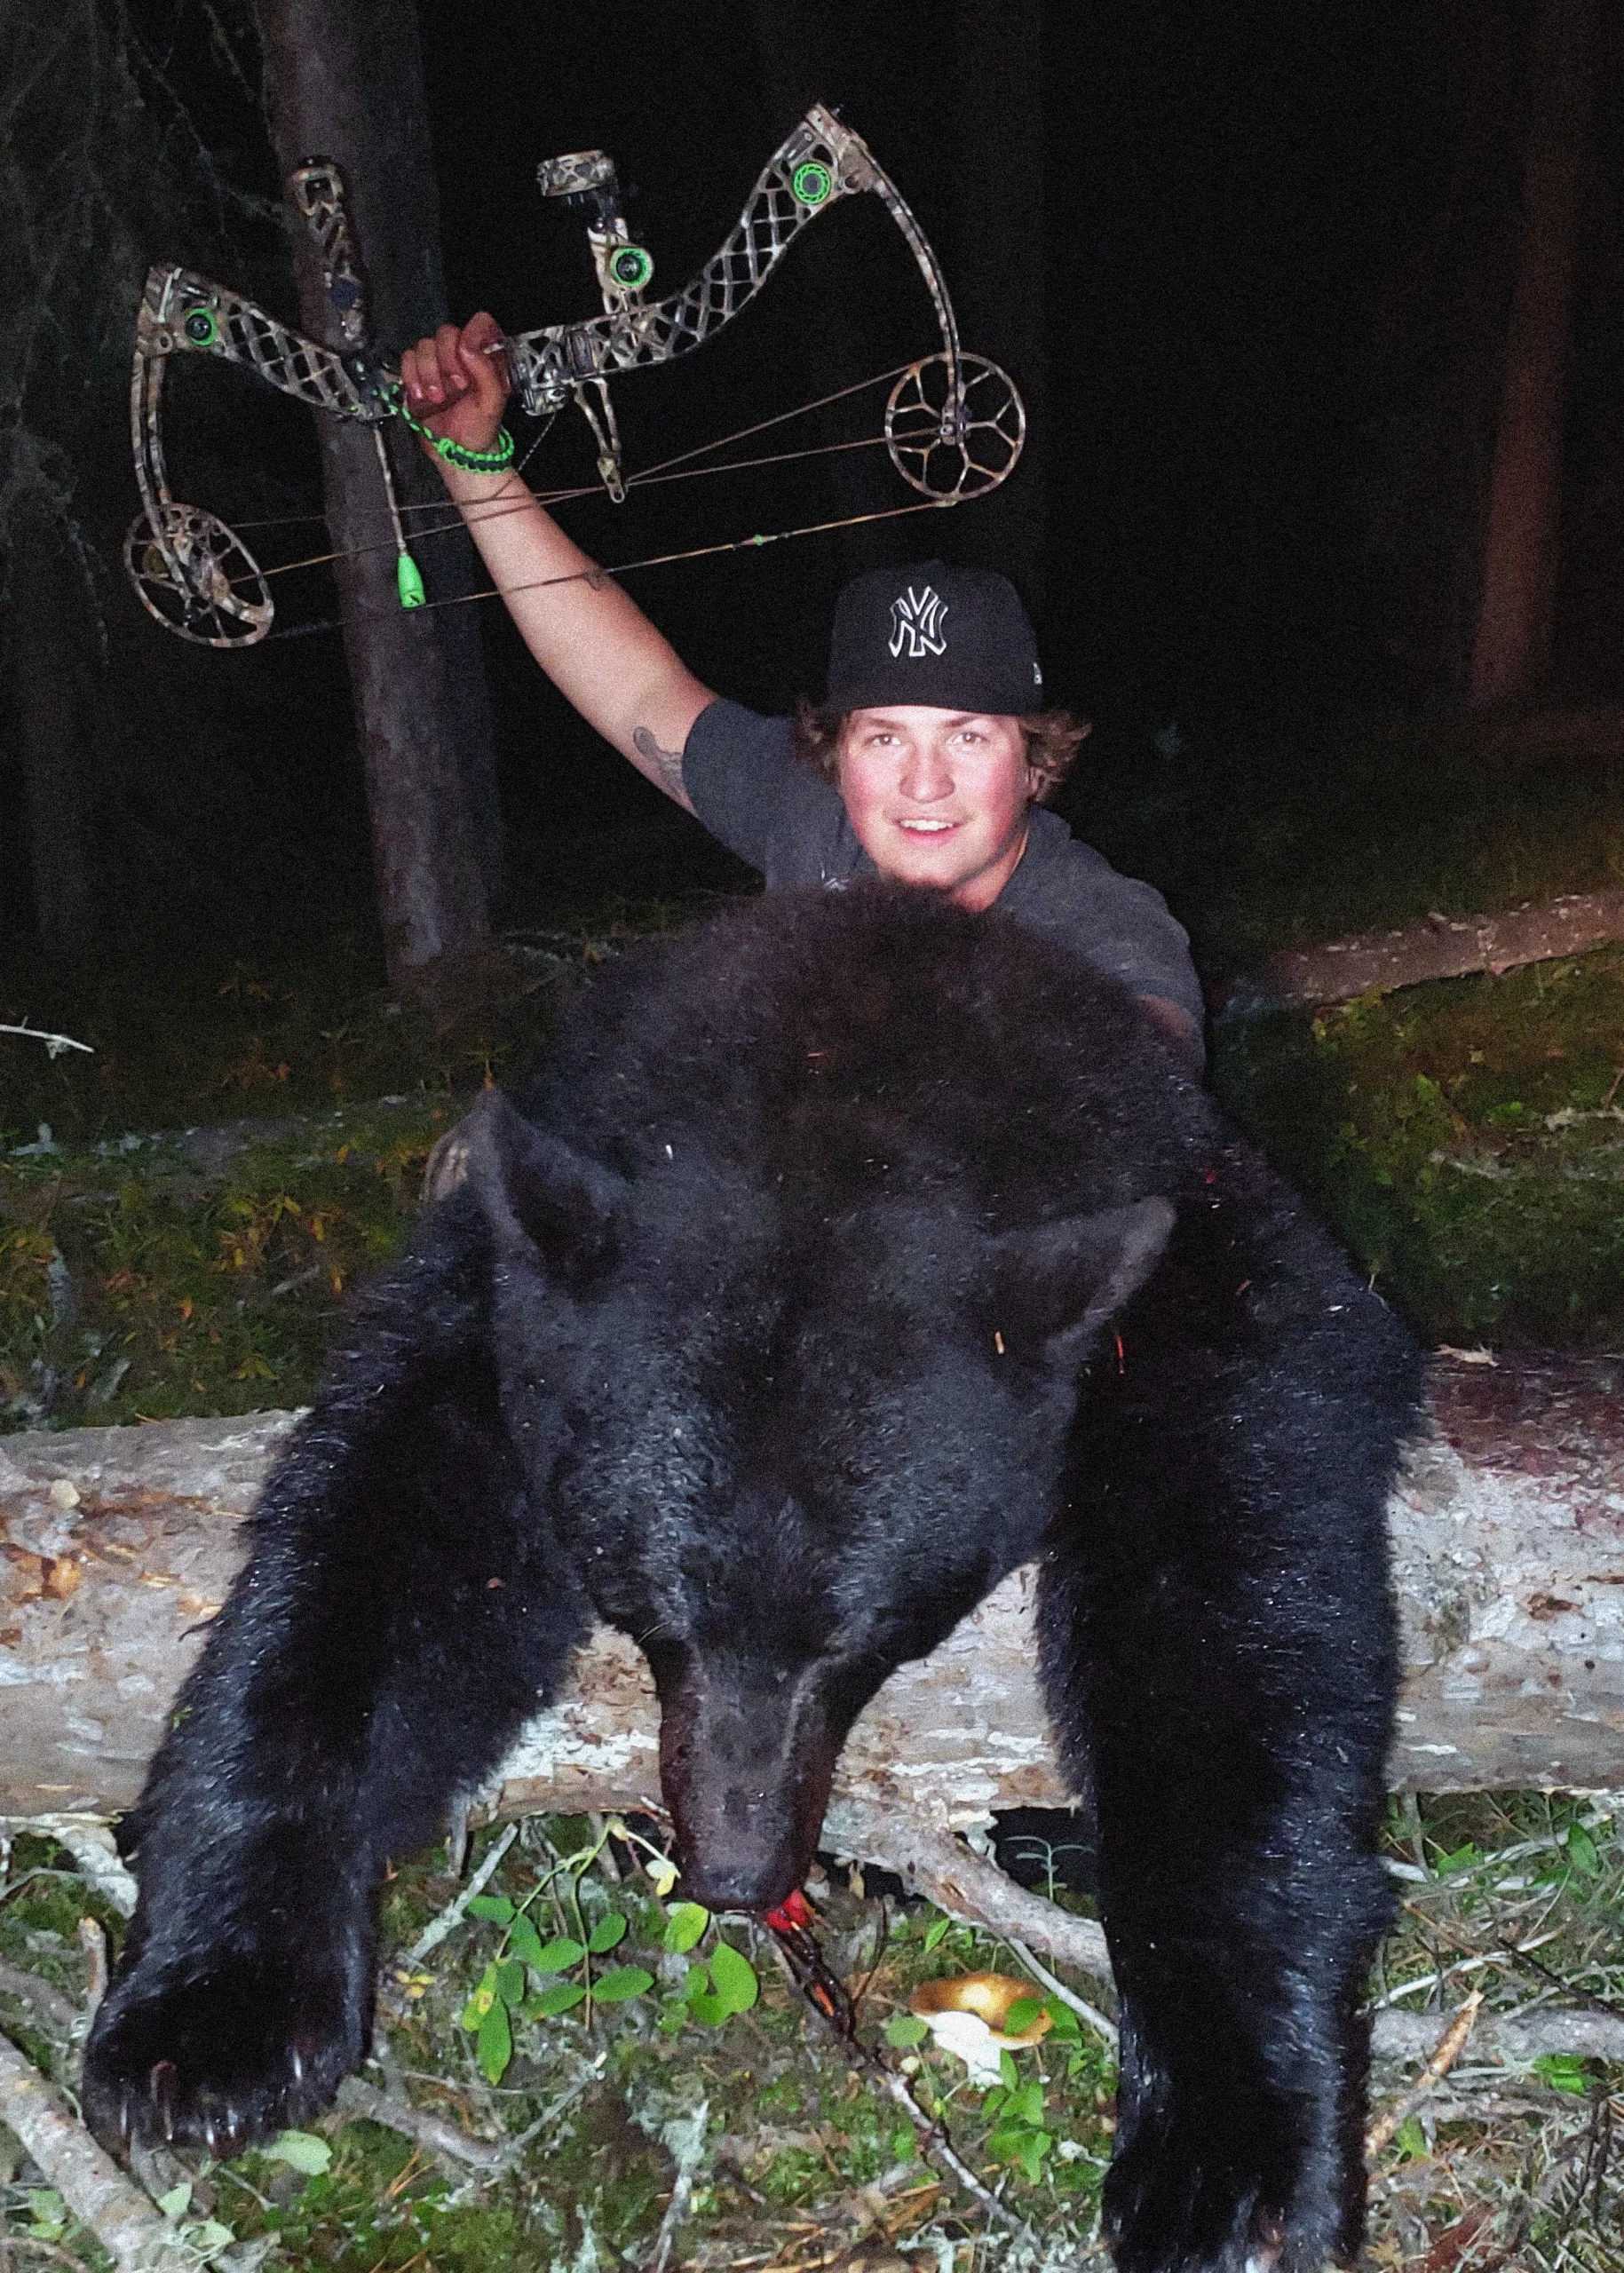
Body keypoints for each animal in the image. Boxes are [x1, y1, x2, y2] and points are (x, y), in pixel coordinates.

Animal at [82, 883, 1420, 2273]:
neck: (849, 1080)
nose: (734, 1872)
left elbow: (1228, 1609)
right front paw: (209, 2021)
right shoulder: (502, 1298)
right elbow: (369, 1544)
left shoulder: (1195, 1271)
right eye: (645, 1606)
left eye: (864, 1635)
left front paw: (1227, 2156)